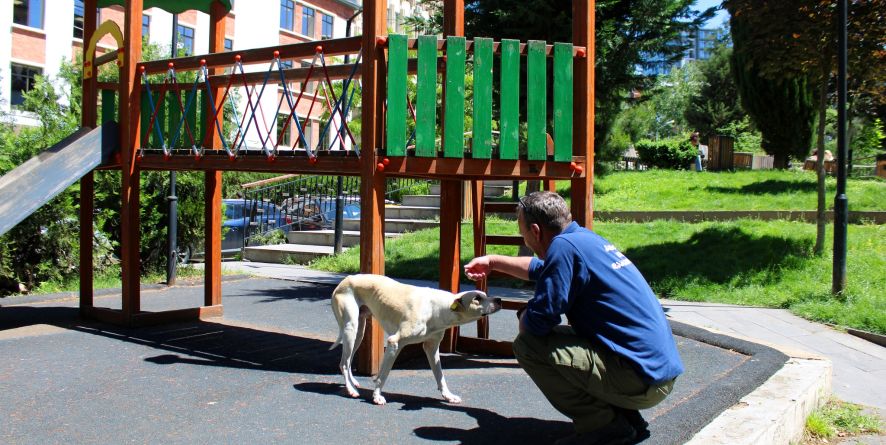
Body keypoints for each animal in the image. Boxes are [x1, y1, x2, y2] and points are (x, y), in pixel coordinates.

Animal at [330, 272, 502, 404]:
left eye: (485, 294)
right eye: (477, 298)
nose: (499, 300)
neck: (437, 308)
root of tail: (346, 279)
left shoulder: (431, 347)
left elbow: (440, 375)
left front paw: (448, 396)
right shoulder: (394, 343)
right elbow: (382, 375)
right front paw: (377, 396)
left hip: (358, 332)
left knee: (348, 361)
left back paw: (353, 383)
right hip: (350, 328)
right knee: (343, 363)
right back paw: (351, 389)